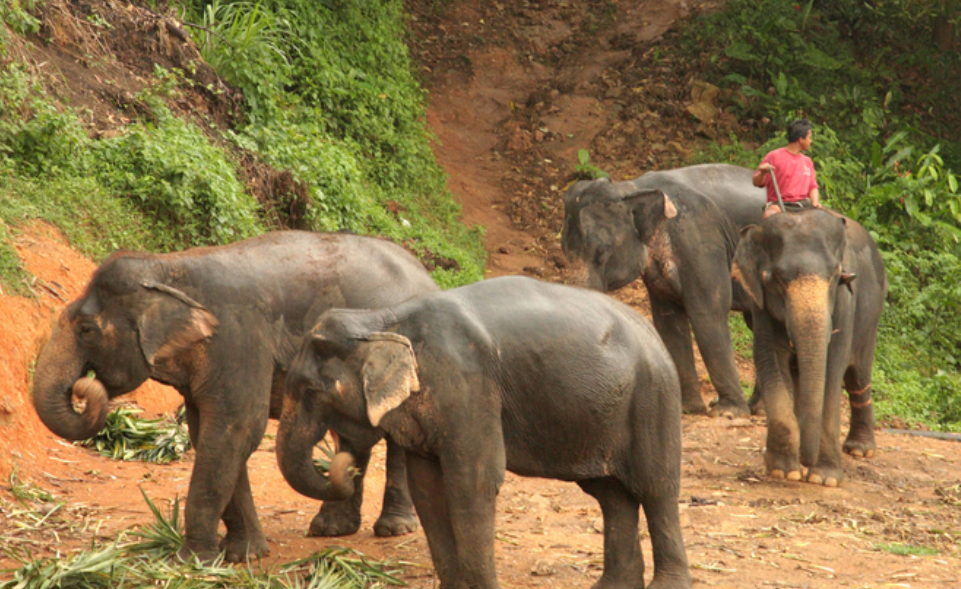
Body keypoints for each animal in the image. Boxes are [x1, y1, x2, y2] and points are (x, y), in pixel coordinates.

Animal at [29, 230, 436, 560]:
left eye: (87, 330)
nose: (84, 385)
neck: (170, 268)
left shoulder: (239, 339)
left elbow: (234, 430)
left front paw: (193, 560)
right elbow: (208, 434)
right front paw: (245, 554)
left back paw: (394, 528)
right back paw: (331, 527)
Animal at [276, 274, 688, 588]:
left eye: (310, 391)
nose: (343, 459)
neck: (382, 320)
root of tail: (653, 334)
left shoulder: (469, 386)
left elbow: (471, 482)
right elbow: (427, 487)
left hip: (653, 399)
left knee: (656, 488)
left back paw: (666, 584)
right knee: (611, 495)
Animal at [564, 163, 764, 416]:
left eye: (601, 252)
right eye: (563, 253)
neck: (631, 187)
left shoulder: (699, 241)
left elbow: (708, 311)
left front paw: (728, 413)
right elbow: (669, 321)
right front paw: (688, 409)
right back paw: (758, 408)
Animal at [732, 209, 888, 484]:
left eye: (835, 277)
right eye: (778, 281)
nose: (806, 461)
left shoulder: (845, 305)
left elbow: (832, 370)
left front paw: (823, 479)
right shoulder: (760, 306)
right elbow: (771, 362)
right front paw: (784, 471)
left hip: (872, 316)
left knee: (857, 376)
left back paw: (860, 450)